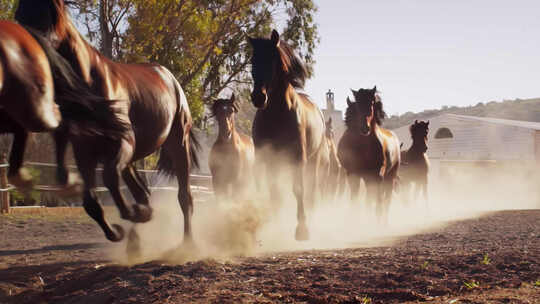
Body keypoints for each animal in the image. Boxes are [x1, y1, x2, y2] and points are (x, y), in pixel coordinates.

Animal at [16, 0, 200, 242]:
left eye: (48, 15)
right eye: (18, 16)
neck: (90, 84)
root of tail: (169, 77)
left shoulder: (122, 143)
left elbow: (110, 179)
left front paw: (134, 215)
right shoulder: (85, 154)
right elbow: (91, 203)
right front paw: (119, 231)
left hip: (178, 144)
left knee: (184, 197)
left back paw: (187, 242)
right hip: (131, 158)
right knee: (143, 192)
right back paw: (135, 239)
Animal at [249, 30, 324, 240]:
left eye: (273, 60)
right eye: (252, 61)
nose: (258, 97)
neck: (277, 114)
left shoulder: (299, 158)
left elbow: (298, 190)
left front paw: (302, 229)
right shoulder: (269, 158)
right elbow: (275, 193)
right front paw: (275, 226)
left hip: (314, 161)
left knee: (311, 190)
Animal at [338, 86, 400, 222]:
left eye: (371, 103)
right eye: (357, 105)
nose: (364, 128)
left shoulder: (378, 175)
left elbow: (378, 202)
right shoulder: (353, 174)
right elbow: (355, 201)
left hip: (390, 177)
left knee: (385, 201)